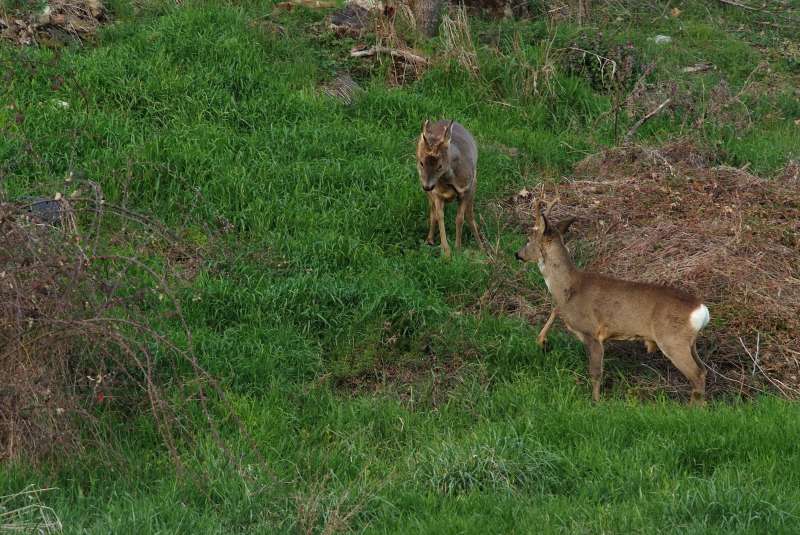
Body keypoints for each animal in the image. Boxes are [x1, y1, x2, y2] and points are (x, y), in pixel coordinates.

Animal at [416, 119, 484, 258]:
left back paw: (480, 242)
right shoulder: (436, 194)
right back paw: (429, 240)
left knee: (470, 214)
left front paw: (458, 248)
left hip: (474, 184)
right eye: (421, 163)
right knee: (432, 211)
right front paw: (447, 252)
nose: (427, 186)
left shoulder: (468, 188)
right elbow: (439, 216)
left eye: (440, 166)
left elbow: (460, 218)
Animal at [520, 199, 712, 404]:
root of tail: (702, 310)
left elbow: (596, 373)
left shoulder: (592, 332)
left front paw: (596, 403)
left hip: (673, 340)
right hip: (689, 342)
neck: (568, 288)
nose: (518, 254)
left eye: (529, 237)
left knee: (697, 374)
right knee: (703, 370)